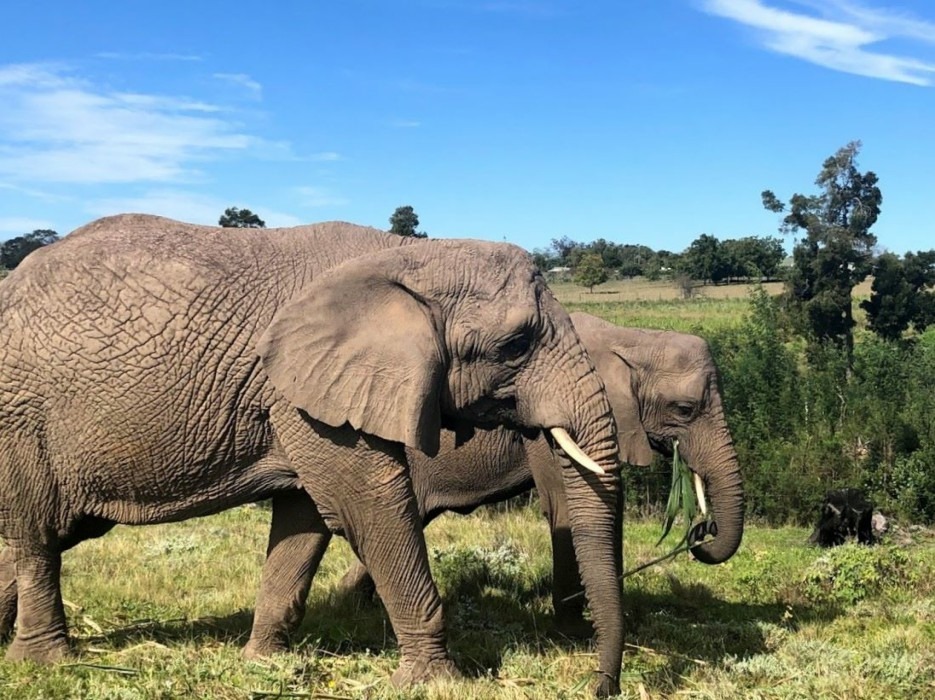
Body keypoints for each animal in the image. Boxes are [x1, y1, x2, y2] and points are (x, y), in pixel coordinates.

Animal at [1, 215, 628, 696]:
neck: (407, 256)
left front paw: (262, 664)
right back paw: (44, 661)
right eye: (517, 344)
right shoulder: (304, 396)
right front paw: (437, 682)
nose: (599, 686)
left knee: (47, 533)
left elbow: (304, 522)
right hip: (20, 419)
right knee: (37, 537)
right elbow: (367, 508)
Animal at [336, 312, 744, 628]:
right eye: (684, 409)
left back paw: (351, 603)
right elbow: (566, 506)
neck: (631, 339)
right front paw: (573, 632)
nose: (703, 529)